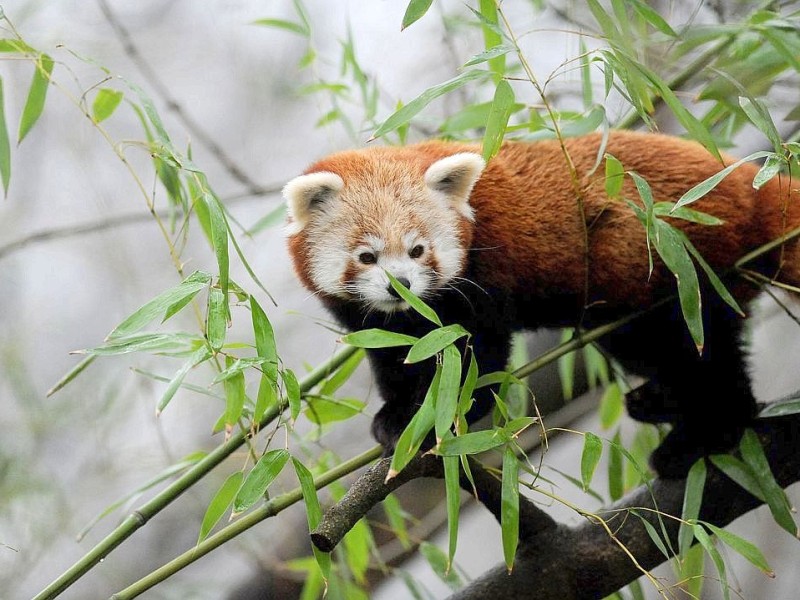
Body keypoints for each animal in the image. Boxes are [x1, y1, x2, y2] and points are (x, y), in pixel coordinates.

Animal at [282, 131, 800, 478]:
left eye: (417, 250)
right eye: (367, 257)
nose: (401, 286)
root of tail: (749, 182)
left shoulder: (484, 277)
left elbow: (478, 358)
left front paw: (437, 417)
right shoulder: (380, 320)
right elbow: (394, 355)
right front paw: (396, 414)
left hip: (681, 268)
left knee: (700, 351)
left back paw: (703, 436)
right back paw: (661, 401)